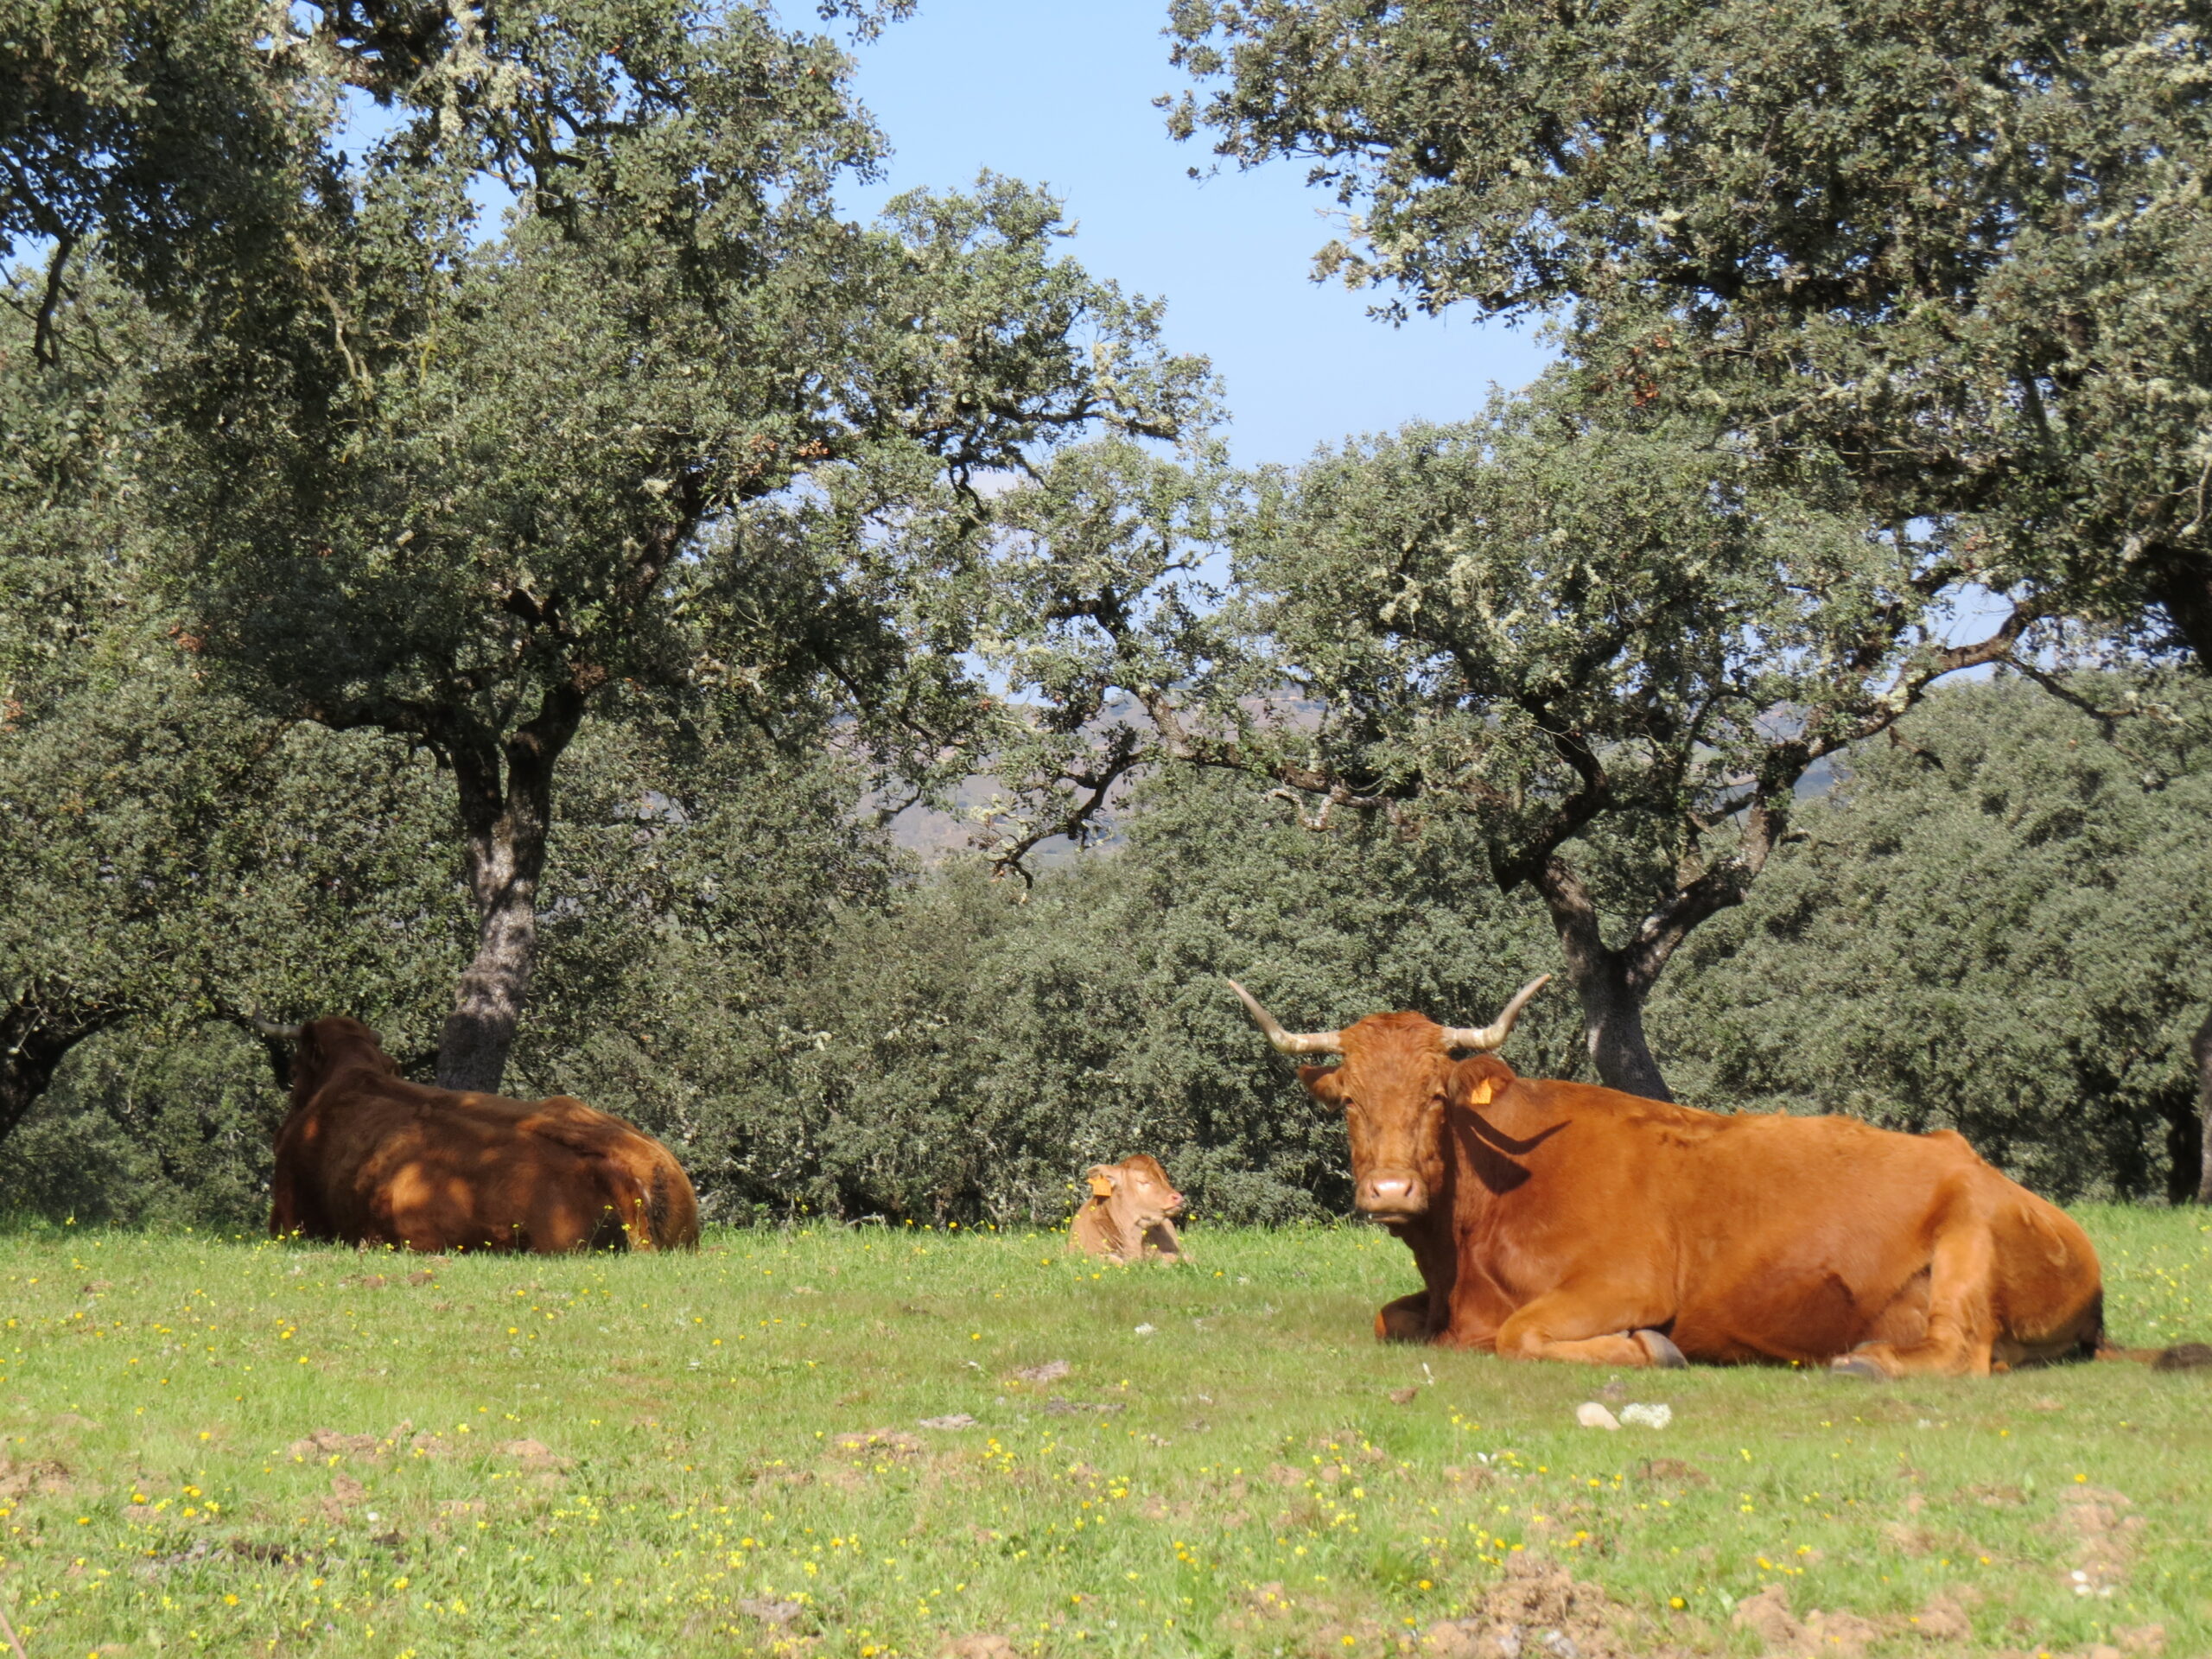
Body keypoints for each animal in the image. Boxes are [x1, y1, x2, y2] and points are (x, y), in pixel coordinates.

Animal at [1225, 976, 2143, 1379]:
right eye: (1348, 1098)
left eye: (1435, 1096)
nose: (1389, 1192)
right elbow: (1391, 1320)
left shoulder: (1622, 1281)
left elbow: (1524, 1334)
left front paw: (1648, 1348)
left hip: (1969, 1239)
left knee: (1964, 1353)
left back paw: (1866, 1362)